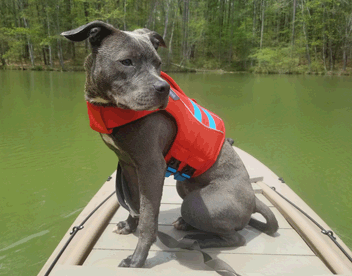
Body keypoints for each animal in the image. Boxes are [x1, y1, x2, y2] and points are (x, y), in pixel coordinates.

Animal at [62, 21, 278, 268]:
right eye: (126, 61)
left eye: (158, 63)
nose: (163, 88)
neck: (109, 105)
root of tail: (253, 200)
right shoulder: (129, 165)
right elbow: (135, 203)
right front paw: (129, 226)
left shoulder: (151, 167)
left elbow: (148, 218)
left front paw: (137, 260)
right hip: (183, 186)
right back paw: (186, 226)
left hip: (196, 203)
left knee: (235, 237)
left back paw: (198, 239)